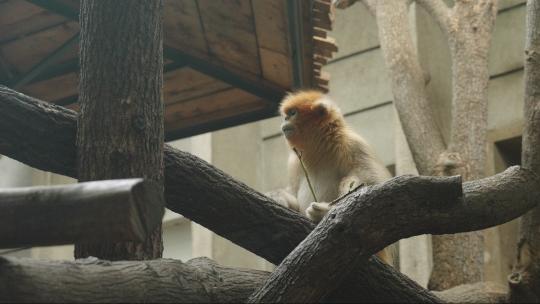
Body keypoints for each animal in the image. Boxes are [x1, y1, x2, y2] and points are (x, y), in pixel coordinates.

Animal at [268, 89, 394, 264]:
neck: (320, 151)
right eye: (287, 114)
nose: (285, 119)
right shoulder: (294, 162)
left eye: (293, 113)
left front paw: (325, 213)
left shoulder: (355, 145)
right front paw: (277, 197)